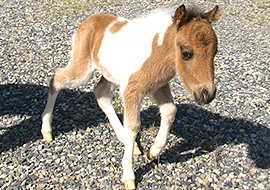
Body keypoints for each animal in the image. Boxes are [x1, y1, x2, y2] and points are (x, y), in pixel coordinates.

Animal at [41, 4, 219, 189]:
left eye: (215, 52)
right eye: (185, 53)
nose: (207, 94)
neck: (157, 51)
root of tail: (88, 21)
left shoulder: (159, 86)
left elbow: (170, 111)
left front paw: (152, 151)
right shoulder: (131, 90)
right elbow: (133, 127)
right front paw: (129, 175)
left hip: (110, 74)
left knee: (101, 93)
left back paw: (127, 142)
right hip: (83, 71)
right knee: (56, 79)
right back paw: (46, 129)